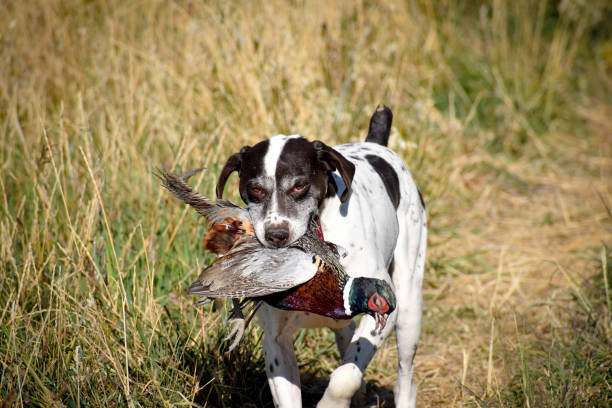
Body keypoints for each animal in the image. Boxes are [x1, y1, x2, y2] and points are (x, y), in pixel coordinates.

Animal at [215, 107, 426, 406]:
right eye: (255, 189)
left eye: (299, 186)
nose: (276, 234)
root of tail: (376, 143)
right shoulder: (276, 342)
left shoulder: (383, 309)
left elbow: (345, 377)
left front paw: (331, 402)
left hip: (409, 308)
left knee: (404, 376)